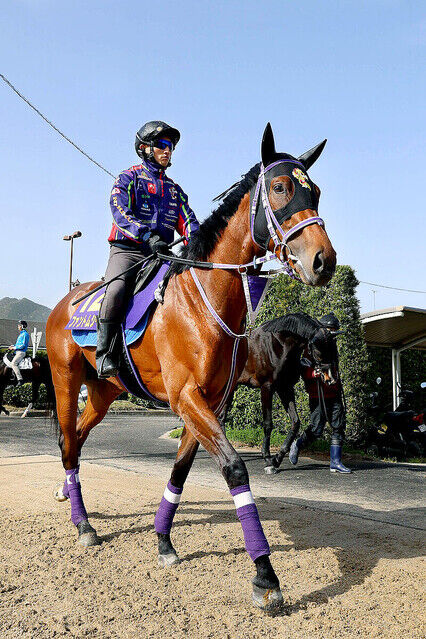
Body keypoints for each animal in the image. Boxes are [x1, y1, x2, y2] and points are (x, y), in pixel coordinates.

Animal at [233, 312, 340, 472]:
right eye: (317, 349)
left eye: (332, 347)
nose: (330, 378)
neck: (278, 345)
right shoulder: (267, 387)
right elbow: (268, 423)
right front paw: (267, 458)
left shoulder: (286, 387)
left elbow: (295, 422)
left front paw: (278, 458)